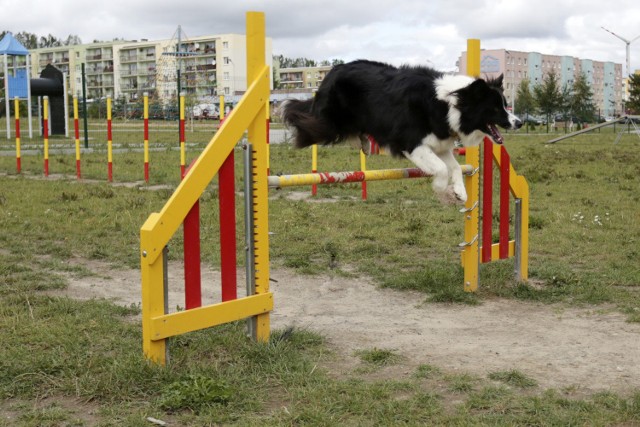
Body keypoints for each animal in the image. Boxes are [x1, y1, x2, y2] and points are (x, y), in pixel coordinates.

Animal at [282, 59, 524, 204]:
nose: (519, 122)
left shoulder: (439, 143)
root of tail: (332, 71)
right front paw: (441, 189)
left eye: (505, 104)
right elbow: (441, 169)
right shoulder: (412, 142)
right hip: (330, 122)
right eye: (495, 108)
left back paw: (364, 143)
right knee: (308, 122)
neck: (449, 103)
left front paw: (460, 193)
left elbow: (455, 167)